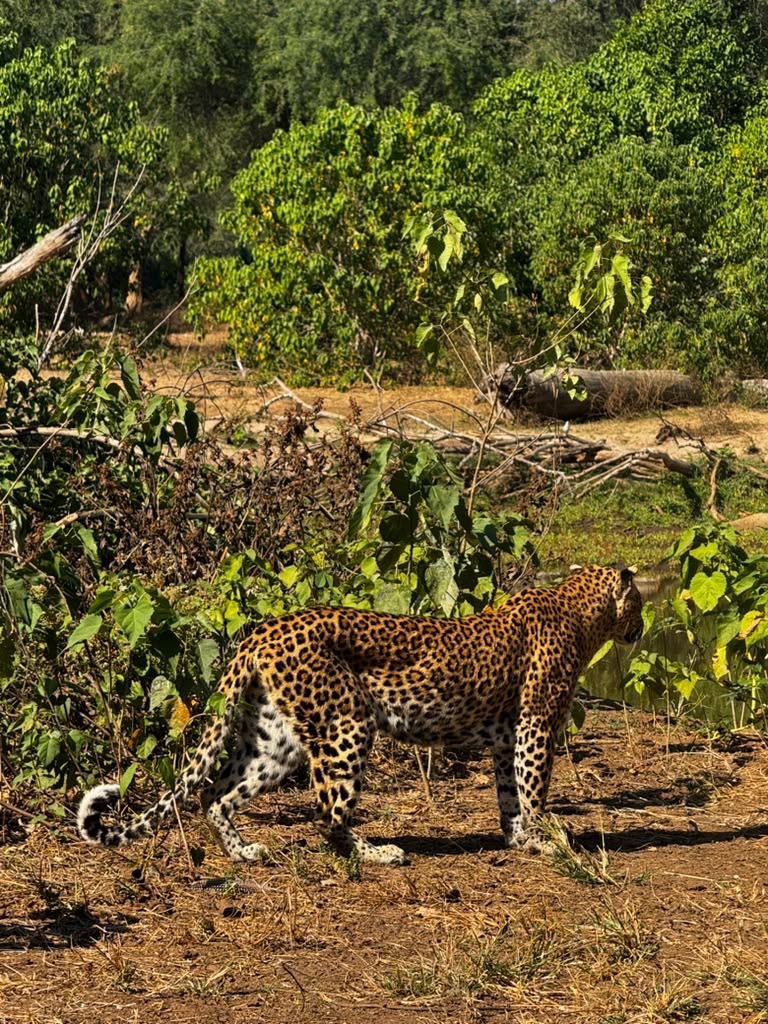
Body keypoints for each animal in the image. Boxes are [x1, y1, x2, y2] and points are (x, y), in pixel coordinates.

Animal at [78, 564, 643, 865]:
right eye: (638, 602)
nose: (640, 626)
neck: (582, 614)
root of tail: (264, 630)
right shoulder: (536, 727)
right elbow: (535, 790)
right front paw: (551, 839)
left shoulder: (509, 739)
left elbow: (510, 796)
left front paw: (521, 838)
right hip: (347, 725)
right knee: (328, 814)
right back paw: (378, 853)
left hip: (275, 739)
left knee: (216, 793)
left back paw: (242, 853)